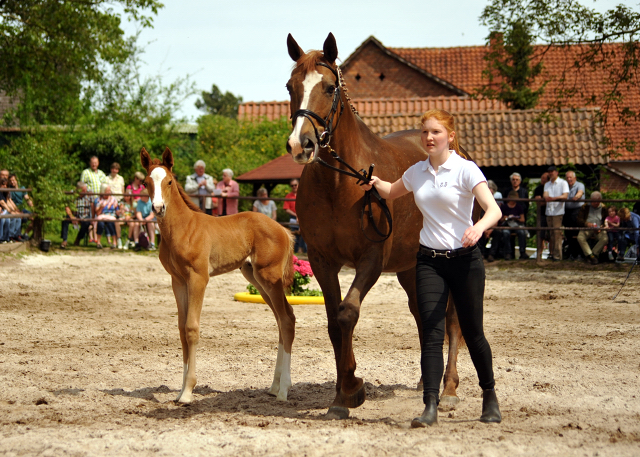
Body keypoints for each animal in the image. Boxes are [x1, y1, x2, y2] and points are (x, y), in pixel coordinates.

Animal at [140, 148, 296, 400]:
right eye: (146, 183)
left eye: (170, 181)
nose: (158, 208)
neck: (183, 228)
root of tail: (283, 229)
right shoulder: (178, 281)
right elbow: (181, 329)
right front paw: (181, 390)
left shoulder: (198, 278)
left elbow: (192, 328)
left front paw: (188, 392)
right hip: (256, 278)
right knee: (283, 319)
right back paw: (274, 386)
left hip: (269, 277)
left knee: (287, 320)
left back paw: (283, 390)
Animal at [284, 33, 470, 416]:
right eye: (290, 86)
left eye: (328, 87)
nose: (300, 144)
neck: (341, 183)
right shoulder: (322, 262)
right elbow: (332, 322)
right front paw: (344, 390)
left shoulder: (370, 259)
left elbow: (347, 314)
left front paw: (350, 390)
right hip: (411, 267)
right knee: (423, 314)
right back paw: (425, 381)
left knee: (453, 319)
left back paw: (449, 388)